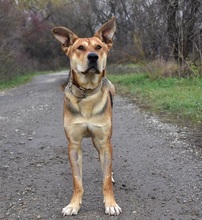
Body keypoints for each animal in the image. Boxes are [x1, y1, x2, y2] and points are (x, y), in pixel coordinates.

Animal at [52, 17, 121, 217]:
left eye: (98, 47)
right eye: (80, 48)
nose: (93, 57)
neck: (87, 93)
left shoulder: (104, 141)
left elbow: (105, 178)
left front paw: (111, 203)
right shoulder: (73, 145)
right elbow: (77, 181)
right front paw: (73, 205)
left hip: (102, 142)